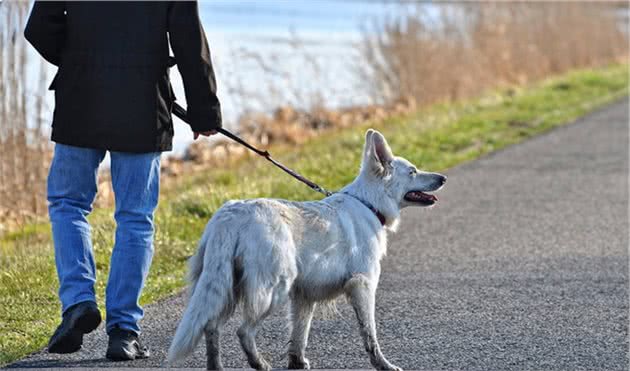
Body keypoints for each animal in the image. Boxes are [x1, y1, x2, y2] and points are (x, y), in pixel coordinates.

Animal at [167, 129, 444, 370]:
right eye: (413, 171)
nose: (443, 178)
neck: (369, 203)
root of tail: (230, 215)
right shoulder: (362, 286)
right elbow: (370, 335)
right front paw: (384, 365)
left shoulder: (304, 297)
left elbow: (299, 335)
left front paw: (297, 363)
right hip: (273, 289)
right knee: (243, 331)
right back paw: (260, 364)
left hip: (226, 287)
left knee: (211, 327)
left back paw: (217, 366)